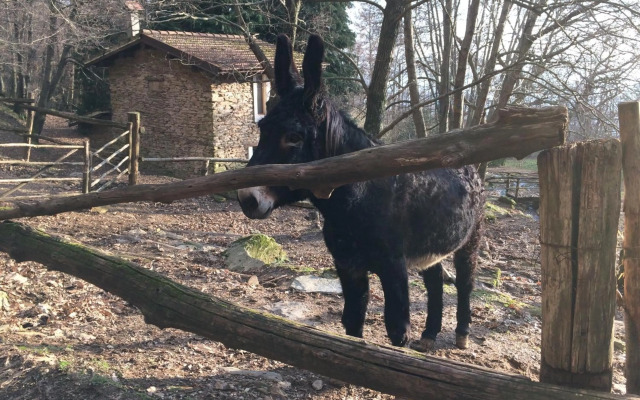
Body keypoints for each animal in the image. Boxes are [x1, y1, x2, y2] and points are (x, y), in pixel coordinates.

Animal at [238, 34, 484, 350]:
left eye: (293, 137)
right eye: (262, 128)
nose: (247, 198)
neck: (355, 199)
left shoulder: (393, 267)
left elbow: (397, 329)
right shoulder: (347, 265)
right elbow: (352, 320)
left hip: (471, 238)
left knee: (466, 281)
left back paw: (462, 334)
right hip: (432, 243)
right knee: (435, 279)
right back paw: (429, 335)